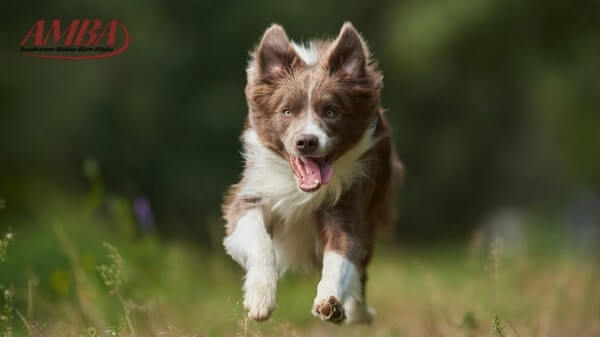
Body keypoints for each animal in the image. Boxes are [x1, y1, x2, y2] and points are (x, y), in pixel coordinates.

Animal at [221, 21, 404, 322]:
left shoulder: (347, 204)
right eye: (286, 111)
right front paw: (260, 298)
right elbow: (260, 242)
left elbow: (340, 256)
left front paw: (330, 301)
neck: (299, 187)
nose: (306, 141)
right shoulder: (249, 195)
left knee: (361, 268)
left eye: (331, 111)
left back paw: (358, 313)